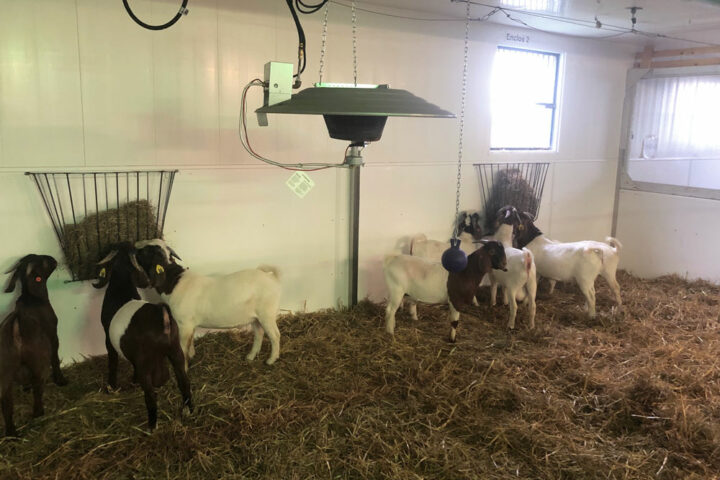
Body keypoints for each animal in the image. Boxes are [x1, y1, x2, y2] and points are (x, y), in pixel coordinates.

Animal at [1, 255, 67, 437]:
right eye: (44, 262)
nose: (53, 259)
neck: (32, 299)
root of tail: (16, 327)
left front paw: (25, 387)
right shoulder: (53, 334)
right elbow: (55, 357)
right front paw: (60, 380)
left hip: (5, 371)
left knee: (6, 404)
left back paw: (12, 433)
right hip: (38, 361)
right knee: (38, 386)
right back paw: (39, 413)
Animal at [93, 243, 192, 431]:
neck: (121, 286)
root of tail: (163, 317)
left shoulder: (108, 339)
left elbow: (112, 362)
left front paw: (111, 387)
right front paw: (132, 381)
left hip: (145, 363)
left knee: (151, 396)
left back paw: (151, 427)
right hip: (175, 351)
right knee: (184, 382)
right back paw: (188, 410)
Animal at [134, 241, 282, 368]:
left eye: (147, 251)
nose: (135, 247)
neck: (173, 283)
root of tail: (271, 278)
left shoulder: (184, 324)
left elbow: (183, 348)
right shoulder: (190, 324)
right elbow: (190, 342)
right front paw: (192, 355)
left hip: (267, 314)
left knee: (275, 335)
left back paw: (271, 360)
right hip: (255, 317)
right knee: (259, 333)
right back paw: (250, 356)